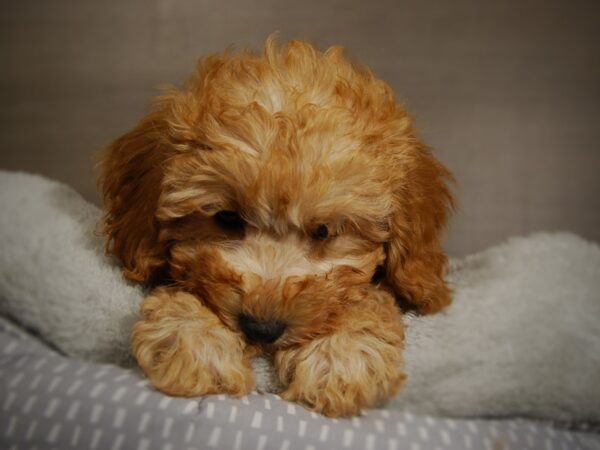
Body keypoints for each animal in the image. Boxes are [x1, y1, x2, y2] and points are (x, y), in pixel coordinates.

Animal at [99, 38, 454, 418]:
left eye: (323, 231)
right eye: (227, 218)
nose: (261, 328)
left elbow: (367, 299)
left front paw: (340, 355)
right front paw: (197, 341)